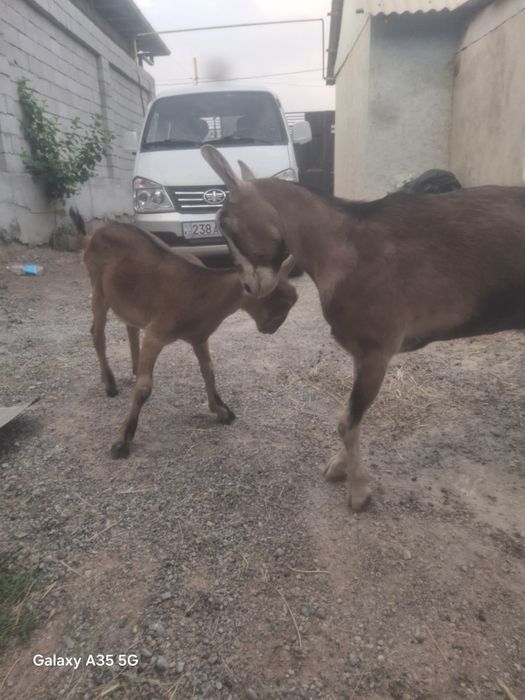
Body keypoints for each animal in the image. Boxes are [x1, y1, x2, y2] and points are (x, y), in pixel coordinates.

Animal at [69, 207, 297, 459]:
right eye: (276, 302)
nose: (273, 327)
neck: (201, 291)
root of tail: (92, 236)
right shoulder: (156, 334)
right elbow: (144, 388)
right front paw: (122, 440)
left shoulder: (199, 337)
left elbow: (209, 370)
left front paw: (221, 410)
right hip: (98, 289)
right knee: (97, 333)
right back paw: (110, 384)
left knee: (130, 326)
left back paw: (135, 368)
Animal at [201, 144, 525, 511]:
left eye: (226, 222)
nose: (249, 286)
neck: (343, 248)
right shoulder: (360, 352)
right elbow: (349, 416)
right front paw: (340, 468)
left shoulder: (376, 350)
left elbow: (347, 421)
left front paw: (358, 491)